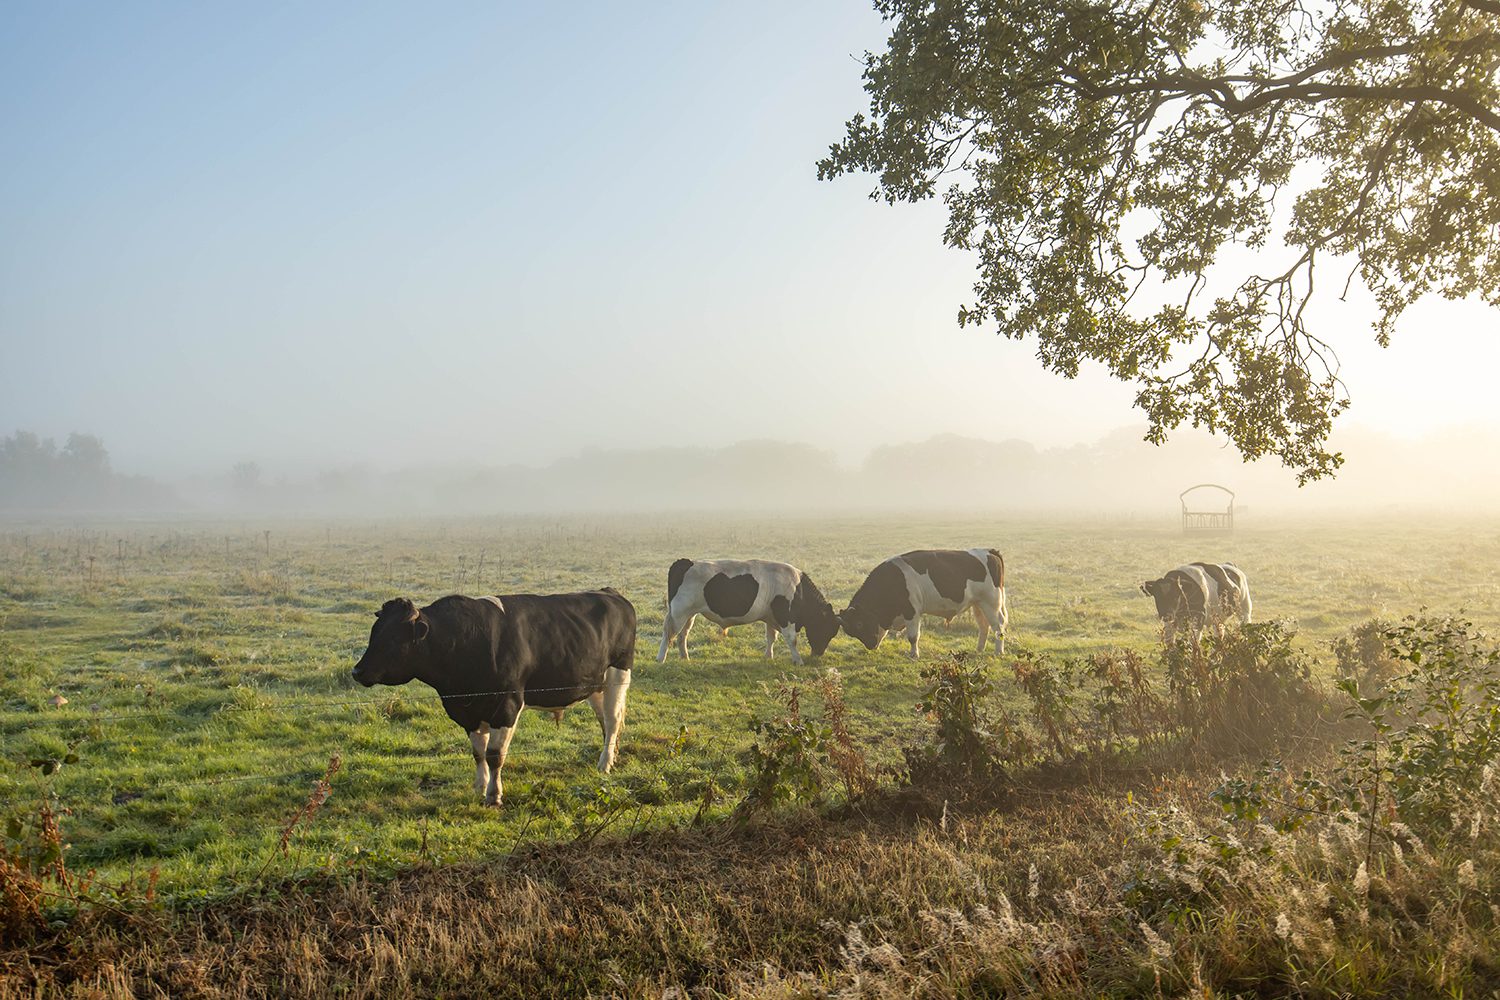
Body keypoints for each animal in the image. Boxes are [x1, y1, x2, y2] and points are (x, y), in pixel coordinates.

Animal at [354, 590, 636, 809]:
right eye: (374, 633)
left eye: (393, 638)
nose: (357, 671)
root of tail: (610, 593)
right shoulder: (467, 711)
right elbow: (478, 752)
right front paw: (480, 786)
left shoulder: (506, 706)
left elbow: (494, 755)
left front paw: (494, 795)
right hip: (595, 685)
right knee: (605, 722)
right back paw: (610, 756)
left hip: (618, 674)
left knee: (612, 720)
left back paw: (604, 764)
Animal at [660, 560, 846, 668]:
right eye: (826, 629)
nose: (818, 653)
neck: (798, 589)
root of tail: (687, 562)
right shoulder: (786, 617)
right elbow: (791, 639)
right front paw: (798, 660)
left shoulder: (772, 617)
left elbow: (771, 637)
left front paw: (768, 657)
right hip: (678, 613)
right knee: (668, 634)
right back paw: (660, 659)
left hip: (689, 615)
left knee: (682, 636)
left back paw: (685, 658)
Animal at [846, 548, 1008, 656]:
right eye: (853, 631)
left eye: (859, 624)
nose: (870, 646)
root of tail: (989, 551)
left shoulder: (912, 611)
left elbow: (913, 637)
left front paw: (914, 655)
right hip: (978, 604)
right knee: (984, 626)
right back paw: (979, 649)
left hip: (991, 603)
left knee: (998, 626)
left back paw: (998, 652)